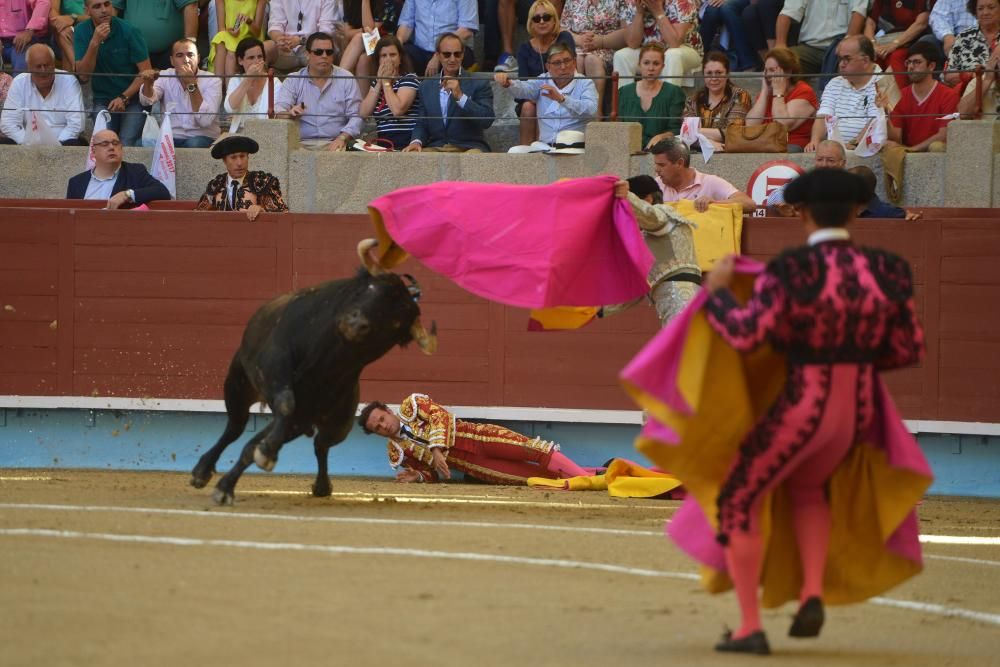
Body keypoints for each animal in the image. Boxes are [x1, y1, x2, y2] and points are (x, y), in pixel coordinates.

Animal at [189, 245, 436, 506]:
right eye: (370, 289)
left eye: (396, 321)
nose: (356, 323)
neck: (325, 360)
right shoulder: (274, 370)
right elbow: (285, 403)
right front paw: (260, 458)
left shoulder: (304, 416)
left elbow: (266, 441)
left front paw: (264, 456)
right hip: (238, 384)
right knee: (235, 428)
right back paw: (203, 472)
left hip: (335, 425)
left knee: (318, 445)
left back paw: (318, 484)